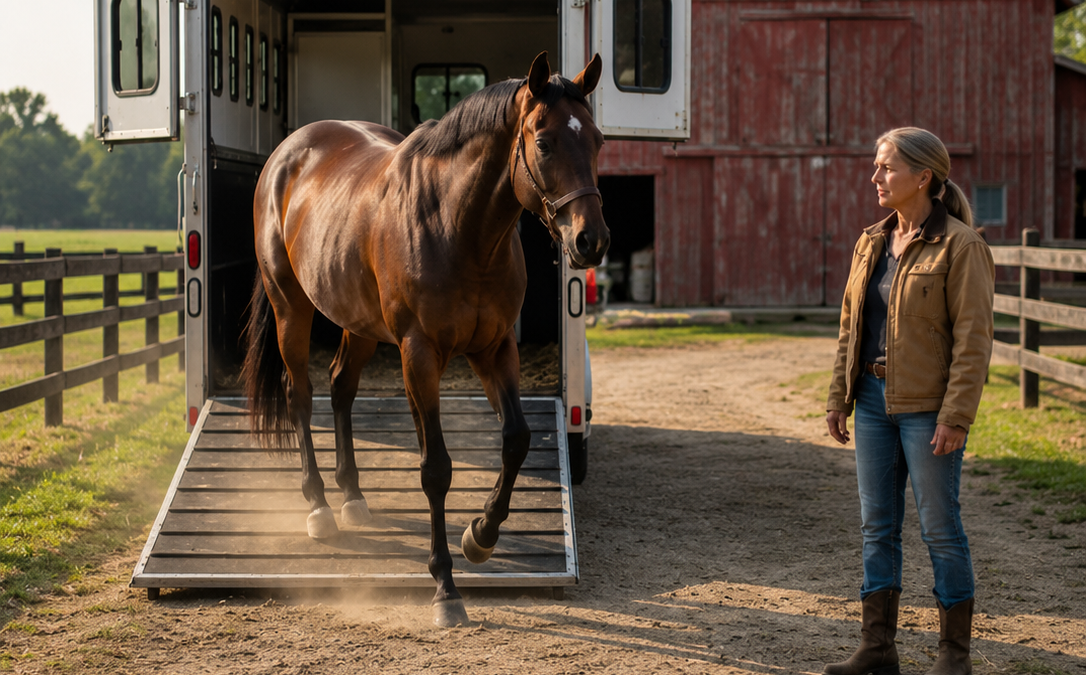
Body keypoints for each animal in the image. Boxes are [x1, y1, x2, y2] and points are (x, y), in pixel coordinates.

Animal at [240, 51, 609, 627]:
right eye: (545, 142)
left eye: (597, 140)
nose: (590, 240)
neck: (458, 227)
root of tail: (288, 152)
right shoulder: (419, 354)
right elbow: (435, 468)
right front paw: (445, 588)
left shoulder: (494, 349)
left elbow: (517, 439)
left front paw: (480, 536)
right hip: (290, 308)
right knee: (300, 395)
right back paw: (320, 506)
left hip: (358, 322)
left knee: (341, 387)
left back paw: (353, 495)